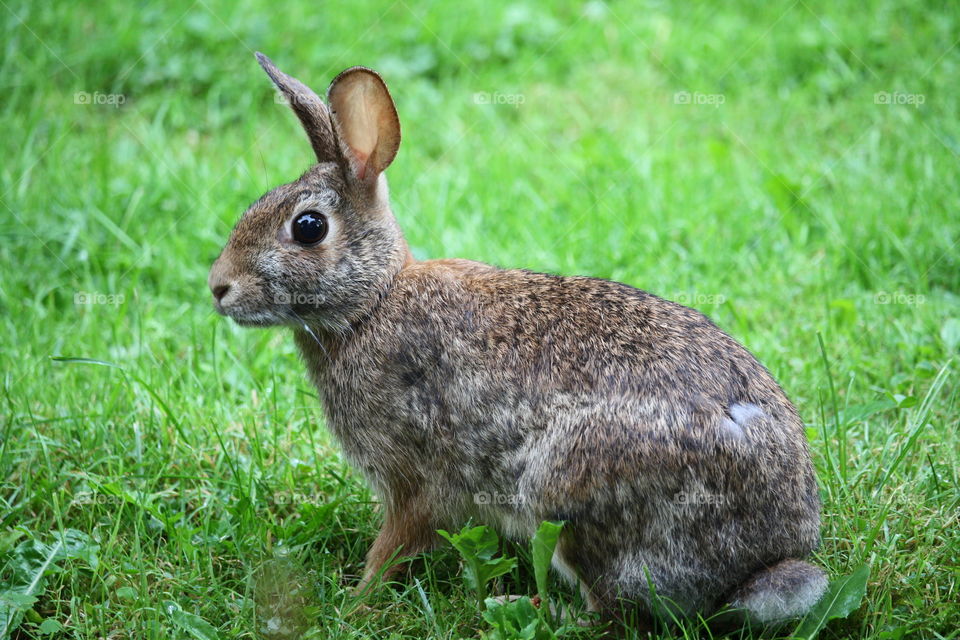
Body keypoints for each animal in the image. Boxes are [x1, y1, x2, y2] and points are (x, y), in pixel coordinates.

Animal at [208, 53, 824, 624]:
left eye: (308, 227)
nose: (218, 287)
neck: (373, 303)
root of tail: (765, 559)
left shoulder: (415, 480)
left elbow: (395, 545)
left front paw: (355, 603)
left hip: (566, 489)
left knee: (607, 610)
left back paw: (515, 605)